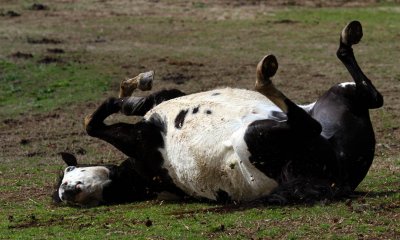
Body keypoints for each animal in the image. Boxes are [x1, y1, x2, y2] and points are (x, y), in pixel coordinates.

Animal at [52, 21, 382, 207]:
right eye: (62, 193)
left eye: (69, 170)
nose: (67, 193)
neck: (141, 174)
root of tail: (337, 179)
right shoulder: (140, 138)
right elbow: (91, 123)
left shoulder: (155, 113)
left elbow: (131, 103)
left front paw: (136, 86)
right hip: (259, 135)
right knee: (313, 121)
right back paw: (265, 75)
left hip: (339, 95)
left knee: (370, 97)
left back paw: (347, 36)